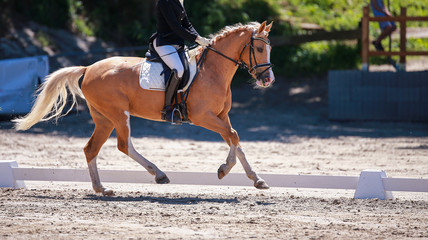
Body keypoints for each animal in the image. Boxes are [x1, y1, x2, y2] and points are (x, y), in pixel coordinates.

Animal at [14, 19, 274, 194]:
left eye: (268, 48)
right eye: (260, 48)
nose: (268, 79)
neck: (212, 70)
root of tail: (88, 69)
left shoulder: (221, 115)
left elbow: (234, 139)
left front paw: (254, 178)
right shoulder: (203, 116)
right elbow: (233, 135)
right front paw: (226, 170)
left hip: (104, 118)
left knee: (92, 148)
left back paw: (102, 189)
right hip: (118, 114)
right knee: (123, 145)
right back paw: (159, 175)